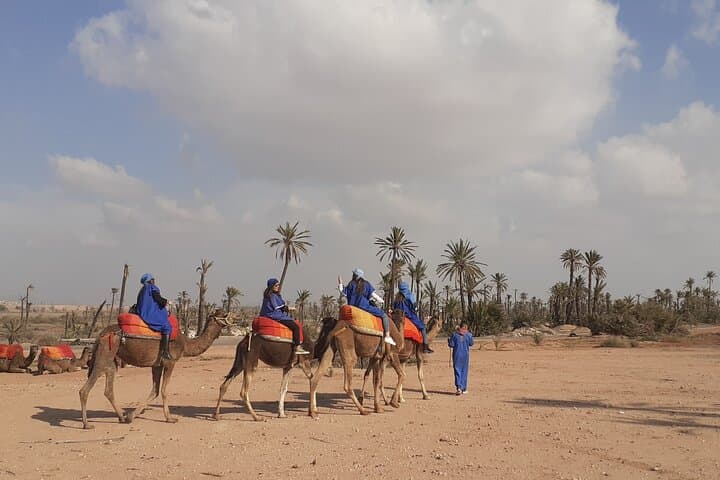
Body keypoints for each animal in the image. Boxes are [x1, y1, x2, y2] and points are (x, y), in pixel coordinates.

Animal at [79, 309, 234, 429]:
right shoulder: (170, 362)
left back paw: (121, 417)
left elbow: (155, 391)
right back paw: (86, 424)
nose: (235, 318)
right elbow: (164, 390)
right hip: (105, 354)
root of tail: (101, 335)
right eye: (224, 314)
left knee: (108, 389)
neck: (185, 343)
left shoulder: (157, 365)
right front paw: (170, 418)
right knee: (85, 389)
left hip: (111, 359)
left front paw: (130, 416)